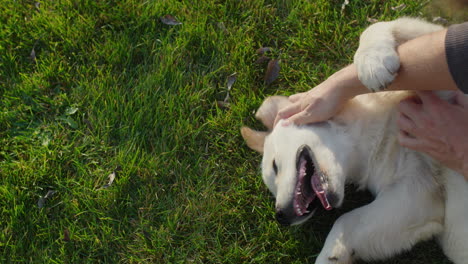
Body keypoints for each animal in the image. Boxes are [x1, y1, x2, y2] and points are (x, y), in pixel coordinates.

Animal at [241, 17, 468, 262]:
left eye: (274, 166)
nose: (280, 216)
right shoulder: (414, 193)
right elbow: (346, 221)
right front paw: (332, 255)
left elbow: (380, 26)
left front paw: (371, 61)